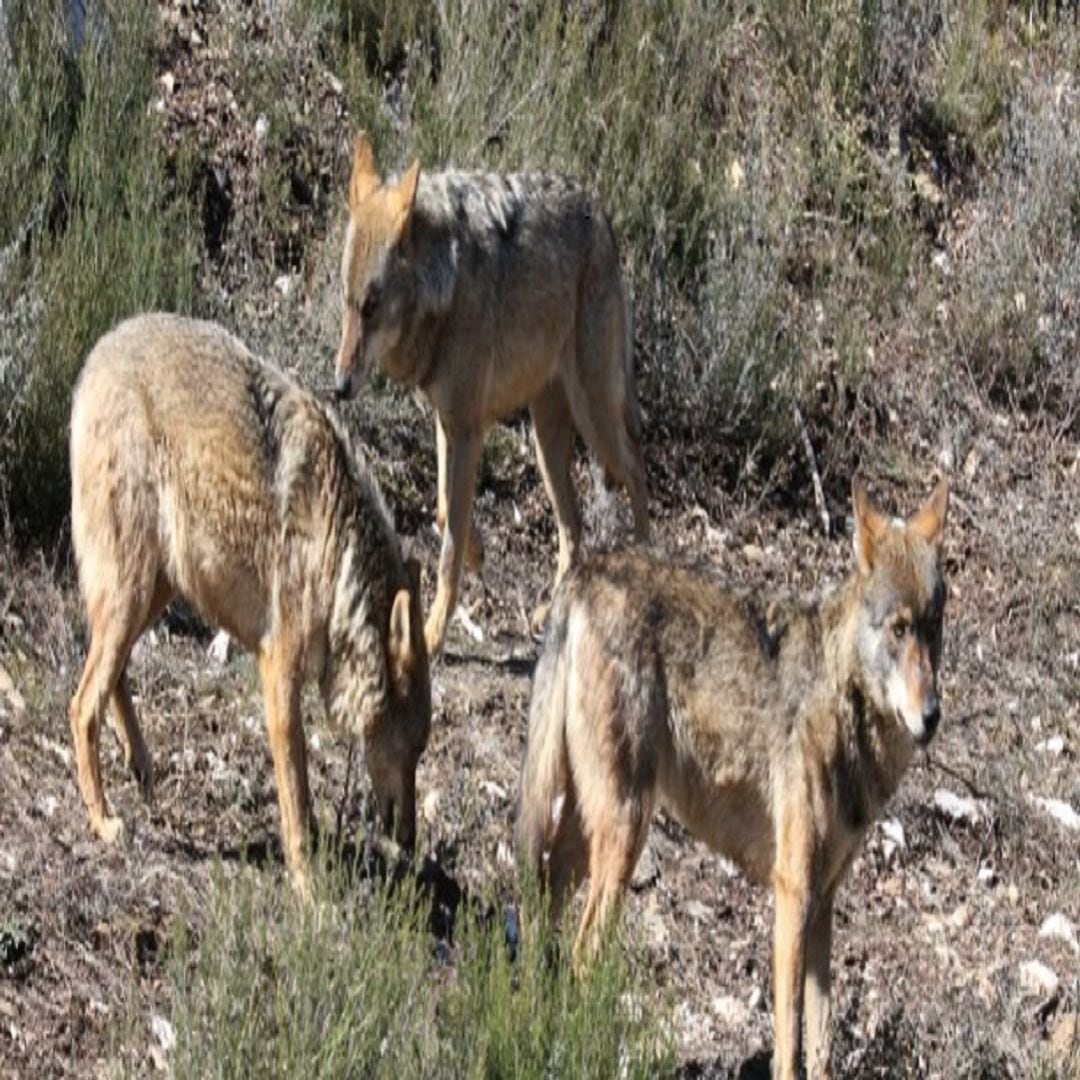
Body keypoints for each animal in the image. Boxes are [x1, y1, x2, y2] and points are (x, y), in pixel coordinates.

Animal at [65, 315, 429, 894]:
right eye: (414, 749)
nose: (412, 843)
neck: (340, 553)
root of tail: (98, 351)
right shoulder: (277, 669)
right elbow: (297, 795)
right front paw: (308, 885)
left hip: (155, 590)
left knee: (112, 676)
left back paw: (139, 763)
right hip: (133, 590)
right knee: (82, 706)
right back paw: (102, 819)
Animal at [328, 135, 648, 656]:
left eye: (373, 306)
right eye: (348, 301)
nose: (338, 386)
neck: (445, 286)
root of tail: (602, 215)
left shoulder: (466, 427)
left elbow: (448, 550)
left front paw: (433, 632)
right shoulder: (447, 422)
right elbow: (443, 510)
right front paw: (477, 553)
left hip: (594, 417)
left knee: (635, 468)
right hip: (546, 441)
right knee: (573, 527)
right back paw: (551, 610)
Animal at [518, 481, 950, 1080]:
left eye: (934, 628)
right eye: (900, 628)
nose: (932, 716)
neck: (843, 700)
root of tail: (584, 572)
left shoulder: (824, 904)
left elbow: (820, 1045)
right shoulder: (793, 891)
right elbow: (788, 1041)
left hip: (589, 833)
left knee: (544, 911)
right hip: (626, 831)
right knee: (583, 956)